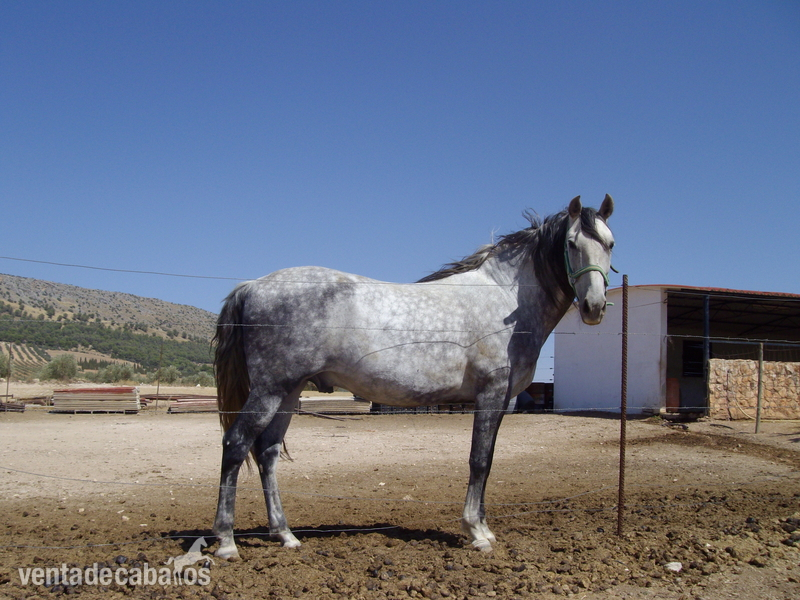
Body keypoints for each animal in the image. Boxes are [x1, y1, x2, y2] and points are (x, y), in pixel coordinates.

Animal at [211, 194, 615, 557]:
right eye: (571, 244)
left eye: (610, 244)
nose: (594, 307)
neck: (505, 298)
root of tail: (252, 285)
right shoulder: (490, 393)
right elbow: (479, 459)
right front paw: (476, 531)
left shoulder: (502, 400)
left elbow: (488, 459)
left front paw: (484, 527)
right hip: (269, 390)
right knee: (236, 444)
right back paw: (227, 541)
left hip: (289, 393)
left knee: (267, 453)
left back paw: (285, 535)